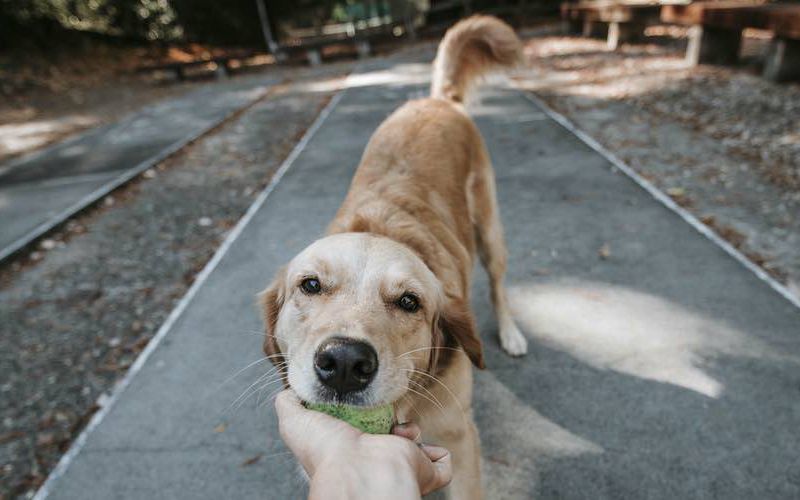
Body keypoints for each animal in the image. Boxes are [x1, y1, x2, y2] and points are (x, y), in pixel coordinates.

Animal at [260, 14, 528, 496]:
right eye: (310, 285)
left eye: (409, 302)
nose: (344, 363)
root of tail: (436, 99)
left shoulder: (460, 441)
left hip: (489, 228)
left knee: (498, 283)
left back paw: (512, 333)